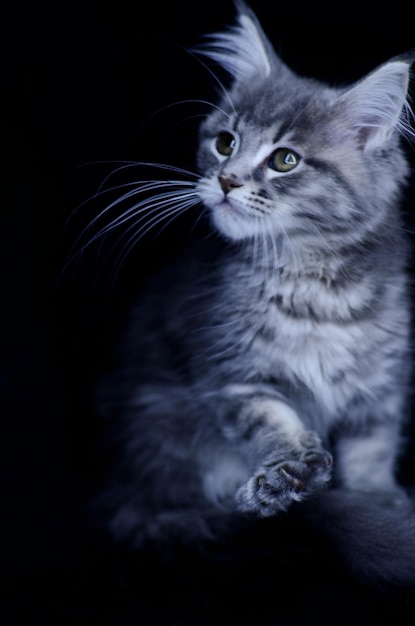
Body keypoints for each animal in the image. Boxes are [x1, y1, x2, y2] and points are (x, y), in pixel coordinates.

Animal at [91, 1, 415, 584]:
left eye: (285, 160)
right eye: (226, 143)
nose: (227, 181)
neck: (316, 285)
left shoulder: (382, 385)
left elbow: (372, 455)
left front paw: (380, 502)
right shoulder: (236, 374)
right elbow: (275, 425)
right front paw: (285, 479)